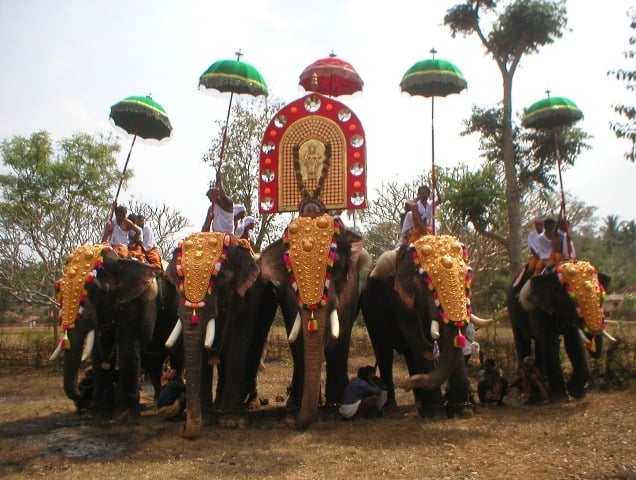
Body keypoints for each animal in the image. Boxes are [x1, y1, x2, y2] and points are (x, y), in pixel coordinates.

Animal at [51, 246, 183, 418]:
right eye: (58, 290)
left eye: (95, 290)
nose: (84, 391)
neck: (119, 259)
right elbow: (99, 351)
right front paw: (100, 415)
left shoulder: (141, 301)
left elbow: (129, 346)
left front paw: (124, 417)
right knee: (154, 361)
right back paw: (157, 398)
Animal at [165, 232, 264, 438]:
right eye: (179, 278)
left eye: (221, 278)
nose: (183, 428)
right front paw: (207, 420)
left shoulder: (247, 300)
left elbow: (237, 347)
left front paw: (232, 422)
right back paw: (219, 406)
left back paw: (247, 406)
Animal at [258, 213, 370, 428]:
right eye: (291, 271)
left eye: (335, 265)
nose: (289, 420)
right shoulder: (288, 298)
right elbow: (298, 341)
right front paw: (301, 407)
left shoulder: (350, 291)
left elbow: (340, 337)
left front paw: (334, 408)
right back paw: (294, 402)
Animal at [360, 236, 494, 420]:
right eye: (426, 283)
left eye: (467, 276)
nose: (405, 384)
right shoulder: (399, 301)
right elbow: (417, 340)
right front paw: (434, 414)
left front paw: (461, 411)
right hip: (370, 318)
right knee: (385, 354)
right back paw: (392, 407)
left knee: (409, 355)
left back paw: (418, 402)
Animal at [506, 260, 612, 400]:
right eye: (572, 300)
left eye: (601, 297)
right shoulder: (537, 309)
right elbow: (551, 343)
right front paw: (560, 395)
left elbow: (574, 343)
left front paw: (577, 393)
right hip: (512, 312)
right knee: (523, 341)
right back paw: (525, 390)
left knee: (539, 344)